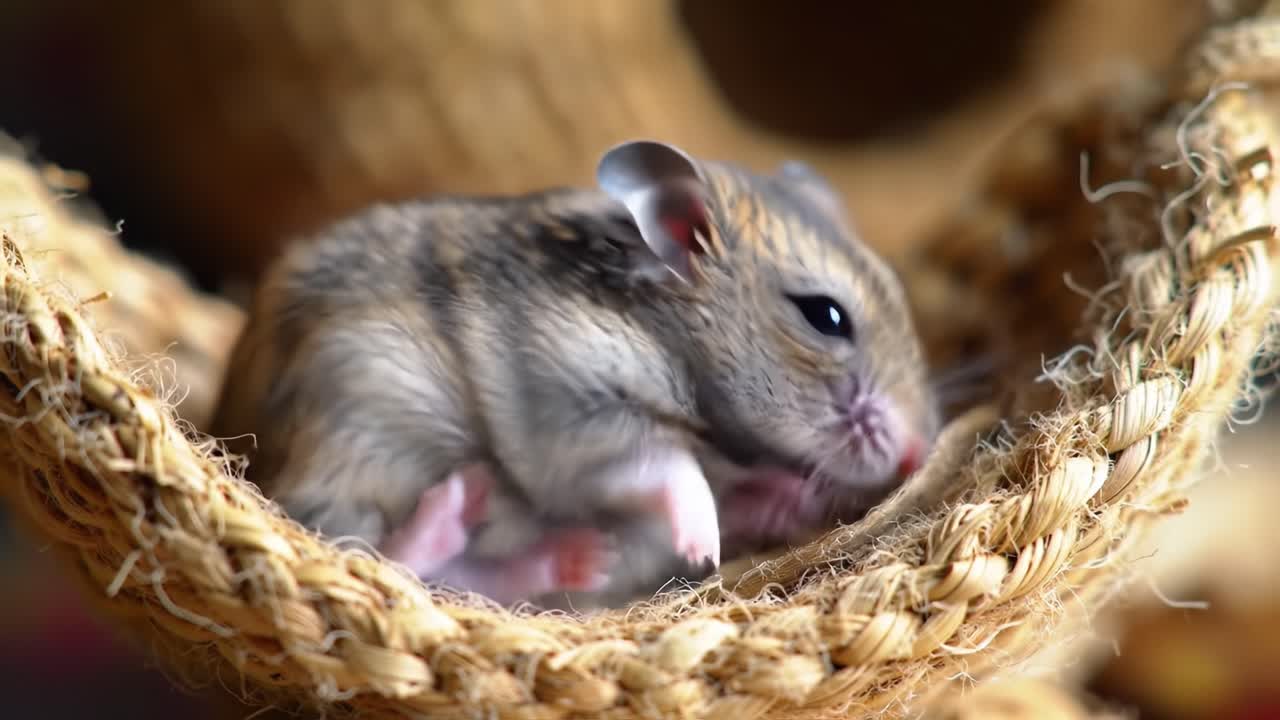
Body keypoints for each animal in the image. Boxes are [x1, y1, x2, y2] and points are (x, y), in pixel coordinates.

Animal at [210, 139, 940, 606]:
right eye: (826, 317)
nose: (916, 455)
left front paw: (787, 498)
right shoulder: (570, 405)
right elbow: (666, 462)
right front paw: (703, 543)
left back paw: (573, 555)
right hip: (351, 436)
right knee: (386, 557)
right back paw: (459, 505)